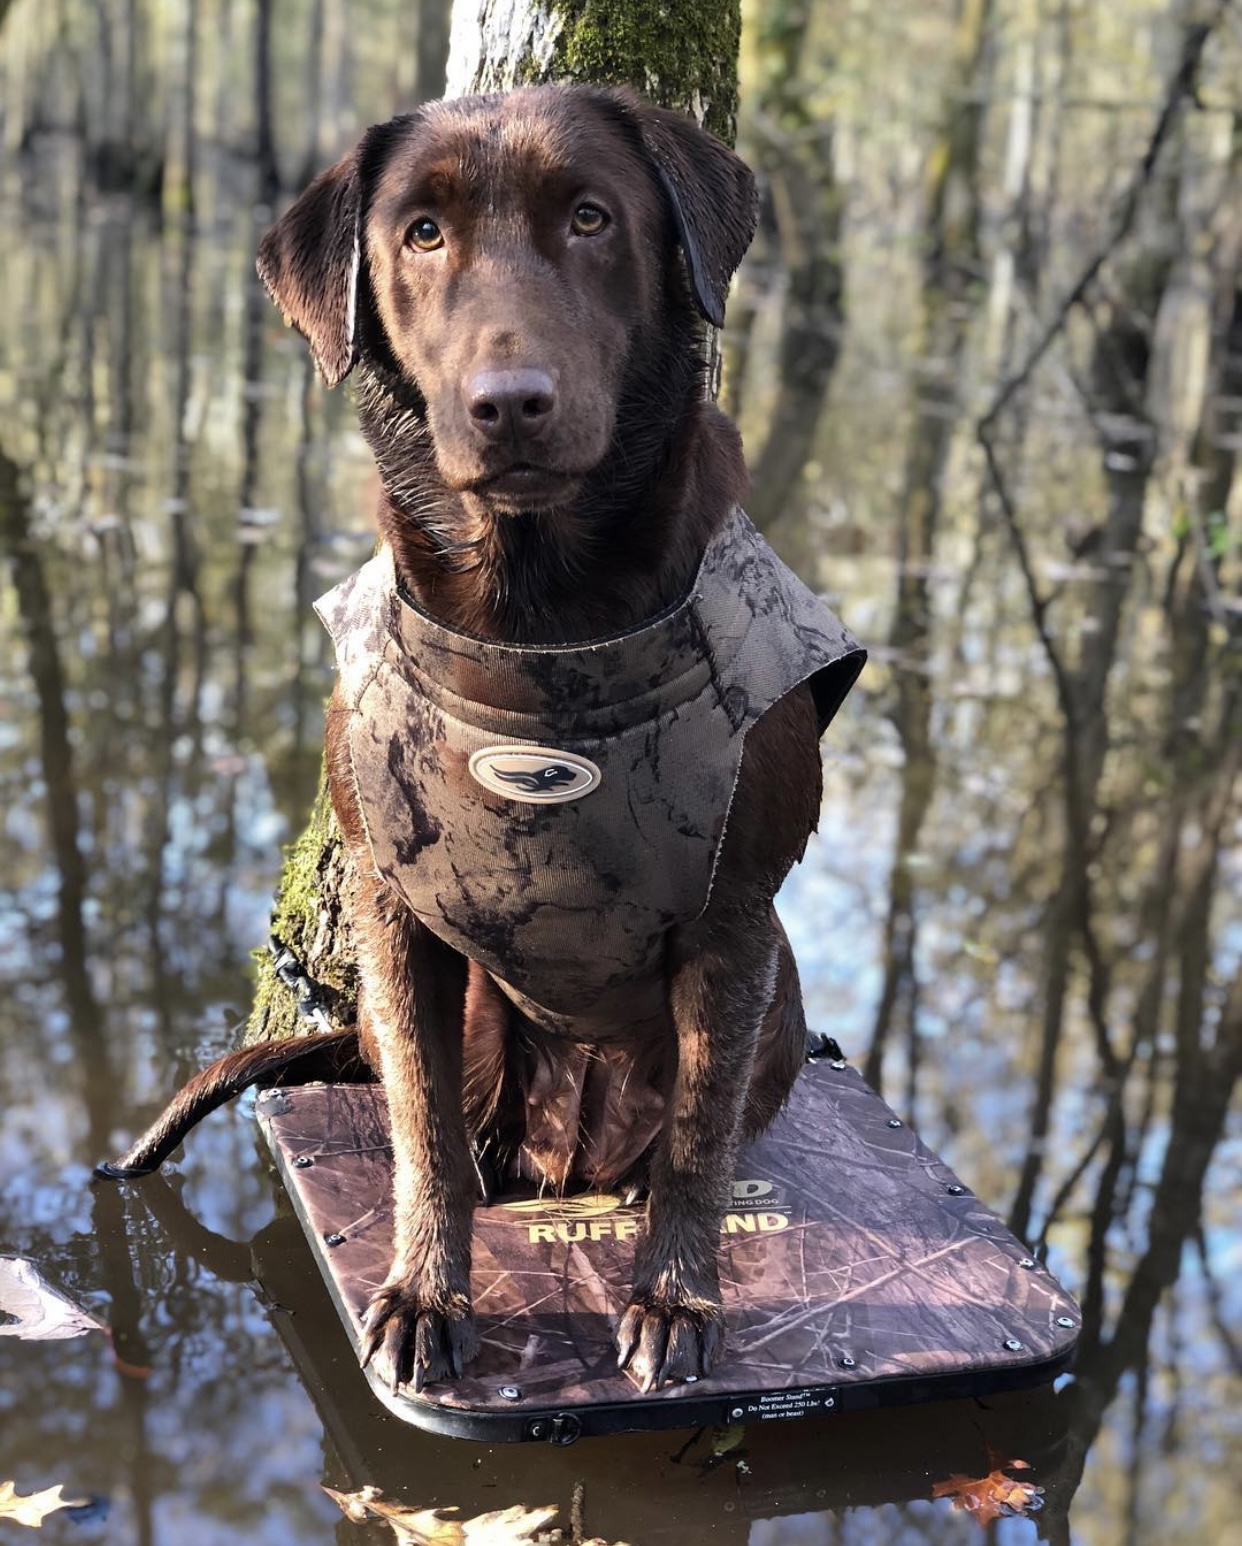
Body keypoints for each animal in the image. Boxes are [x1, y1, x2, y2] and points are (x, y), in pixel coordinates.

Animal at [102, 84, 866, 1397]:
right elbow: (421, 1130)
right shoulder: (396, 912)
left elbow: (699, 1144)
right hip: (478, 1020)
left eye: (592, 216)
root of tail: (572, 1153)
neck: (539, 616)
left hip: (775, 994)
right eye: (421, 233)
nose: (508, 402)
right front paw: (424, 1290)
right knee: (459, 1125)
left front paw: (675, 1298)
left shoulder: (736, 921)